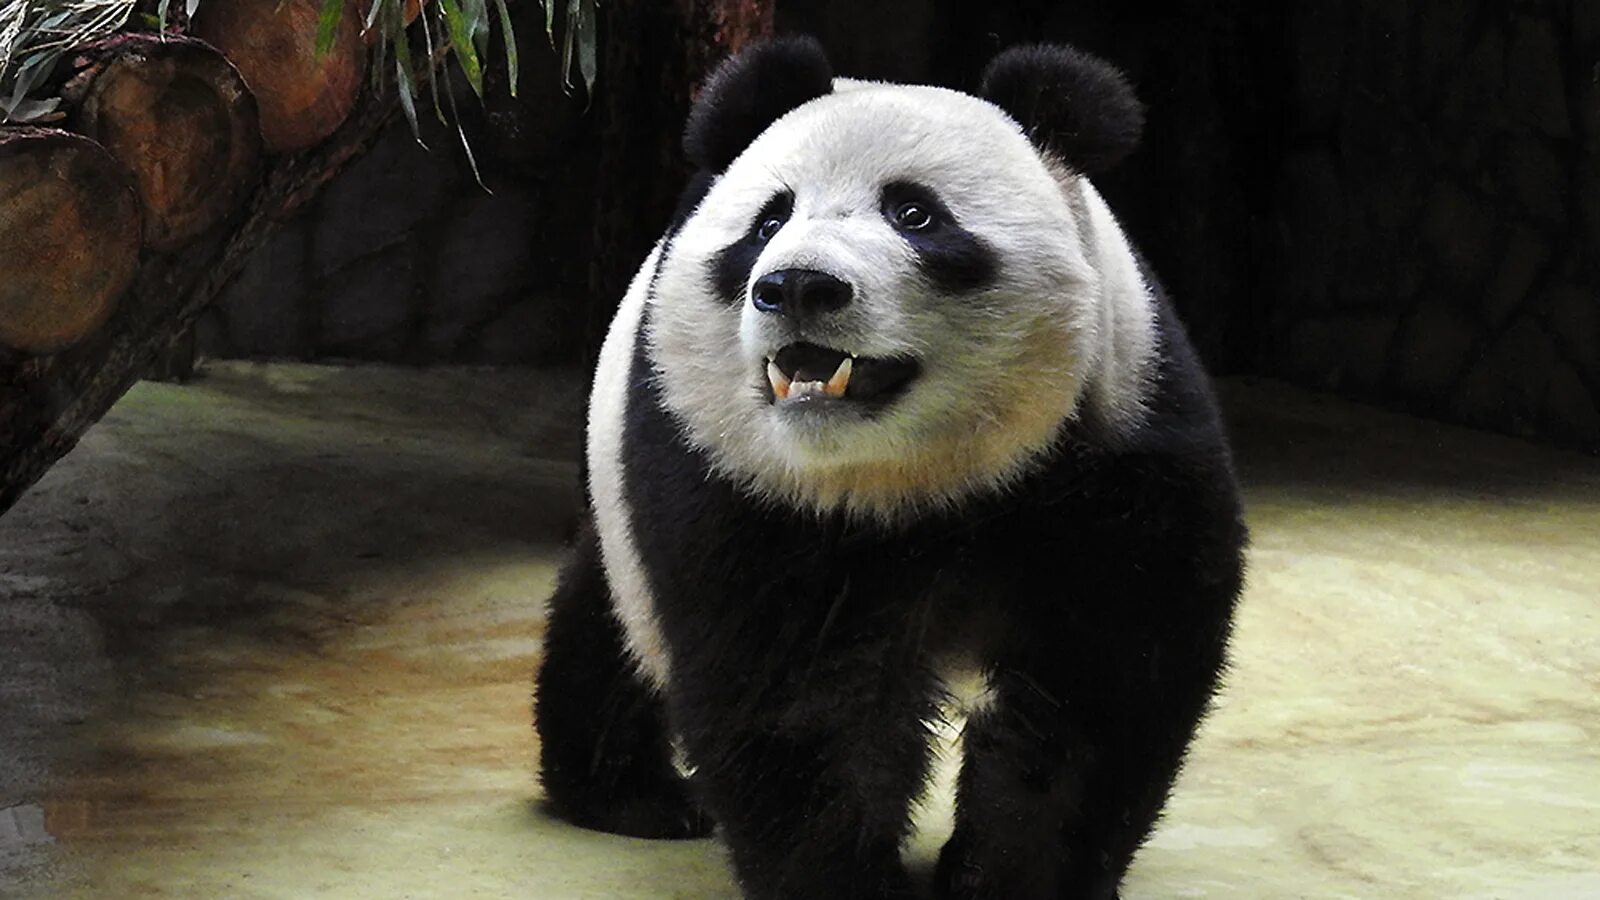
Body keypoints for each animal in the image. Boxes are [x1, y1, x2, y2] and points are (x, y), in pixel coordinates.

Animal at [537, 35, 1248, 896]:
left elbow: (1094, 680)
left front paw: (1012, 874)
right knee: (611, 621)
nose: (798, 285)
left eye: (915, 213)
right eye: (770, 218)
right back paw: (633, 798)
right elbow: (800, 696)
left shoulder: (1114, 442)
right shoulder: (738, 484)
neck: (911, 482)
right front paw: (845, 877)